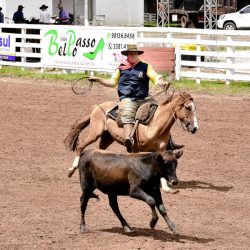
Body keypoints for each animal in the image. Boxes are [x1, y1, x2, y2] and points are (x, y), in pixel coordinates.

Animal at [65, 91, 199, 190]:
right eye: (187, 107)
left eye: (195, 108)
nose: (195, 128)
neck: (154, 124)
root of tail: (98, 106)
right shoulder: (136, 149)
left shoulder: (161, 149)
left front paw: (166, 188)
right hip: (95, 133)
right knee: (80, 146)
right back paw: (71, 170)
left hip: (107, 138)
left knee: (99, 150)